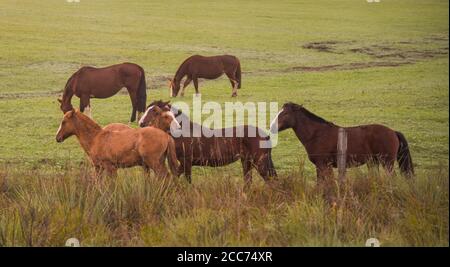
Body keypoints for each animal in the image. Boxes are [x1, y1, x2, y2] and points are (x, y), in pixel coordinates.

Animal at [139, 100, 276, 188]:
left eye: (155, 111)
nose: (141, 123)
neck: (183, 132)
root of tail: (265, 135)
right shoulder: (183, 163)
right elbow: (175, 176)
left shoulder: (187, 161)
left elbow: (187, 180)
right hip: (247, 162)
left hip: (259, 163)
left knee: (271, 181)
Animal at [268, 101, 414, 183]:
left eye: (285, 114)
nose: (271, 126)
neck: (317, 134)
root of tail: (393, 132)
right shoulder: (320, 166)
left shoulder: (323, 165)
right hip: (374, 162)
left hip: (387, 162)